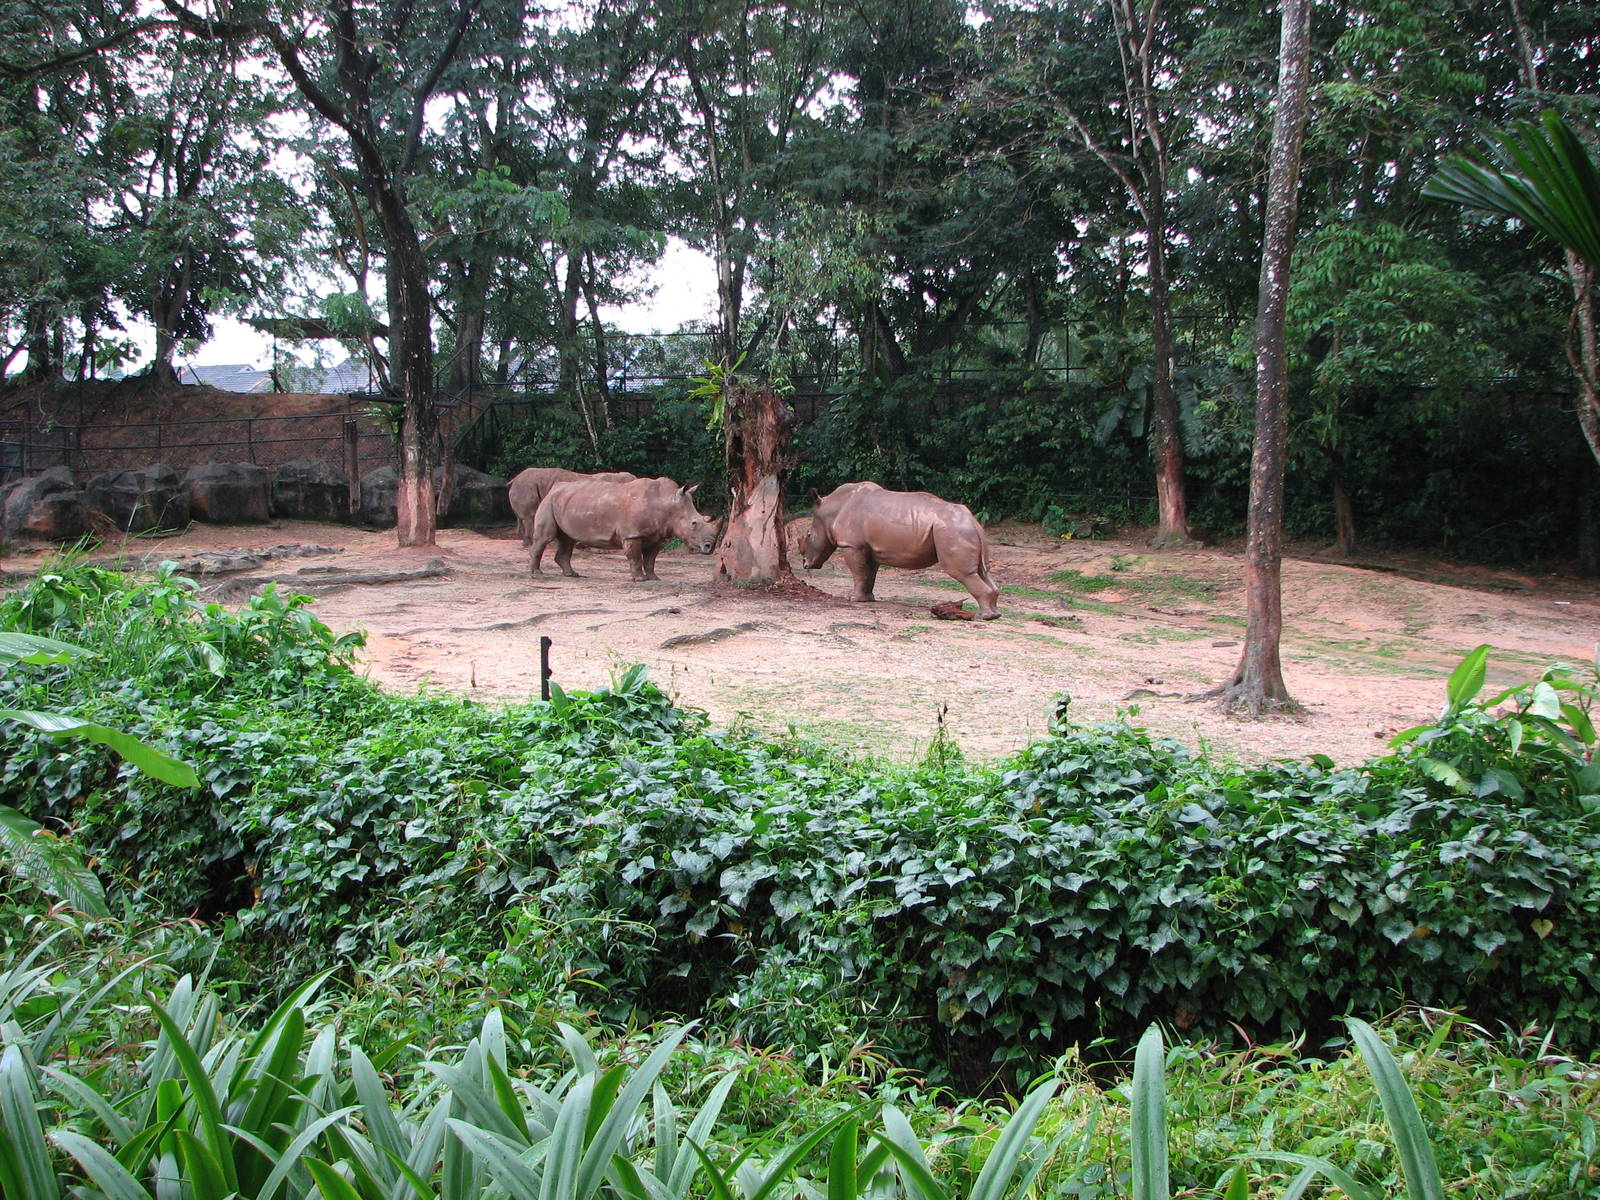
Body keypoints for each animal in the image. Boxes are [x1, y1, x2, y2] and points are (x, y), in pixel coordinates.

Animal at [530, 476, 719, 580]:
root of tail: (554, 487)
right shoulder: (632, 534)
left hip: (565, 502)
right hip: (548, 502)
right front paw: (640, 579)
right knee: (545, 537)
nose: (710, 547)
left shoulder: (657, 535)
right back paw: (537, 574)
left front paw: (654, 578)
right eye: (694, 524)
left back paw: (572, 574)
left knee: (568, 539)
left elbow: (651, 559)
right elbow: (635, 557)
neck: (667, 503)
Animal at [803, 481, 1000, 619]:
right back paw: (994, 615)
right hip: (967, 530)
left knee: (963, 573)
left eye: (809, 535)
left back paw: (985, 617)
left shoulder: (853, 545)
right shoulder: (870, 548)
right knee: (983, 571)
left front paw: (854, 600)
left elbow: (858, 572)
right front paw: (868, 599)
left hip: (952, 531)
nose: (806, 564)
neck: (832, 508)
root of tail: (973, 522)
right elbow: (869, 574)